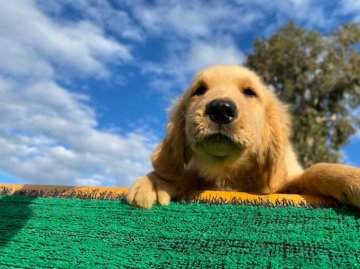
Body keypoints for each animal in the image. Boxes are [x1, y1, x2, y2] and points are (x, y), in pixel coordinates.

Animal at [126, 64, 360, 207]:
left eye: (249, 92)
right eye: (199, 90)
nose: (221, 109)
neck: (230, 171)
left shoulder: (284, 182)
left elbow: (315, 169)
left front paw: (351, 177)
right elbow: (189, 174)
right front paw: (155, 181)